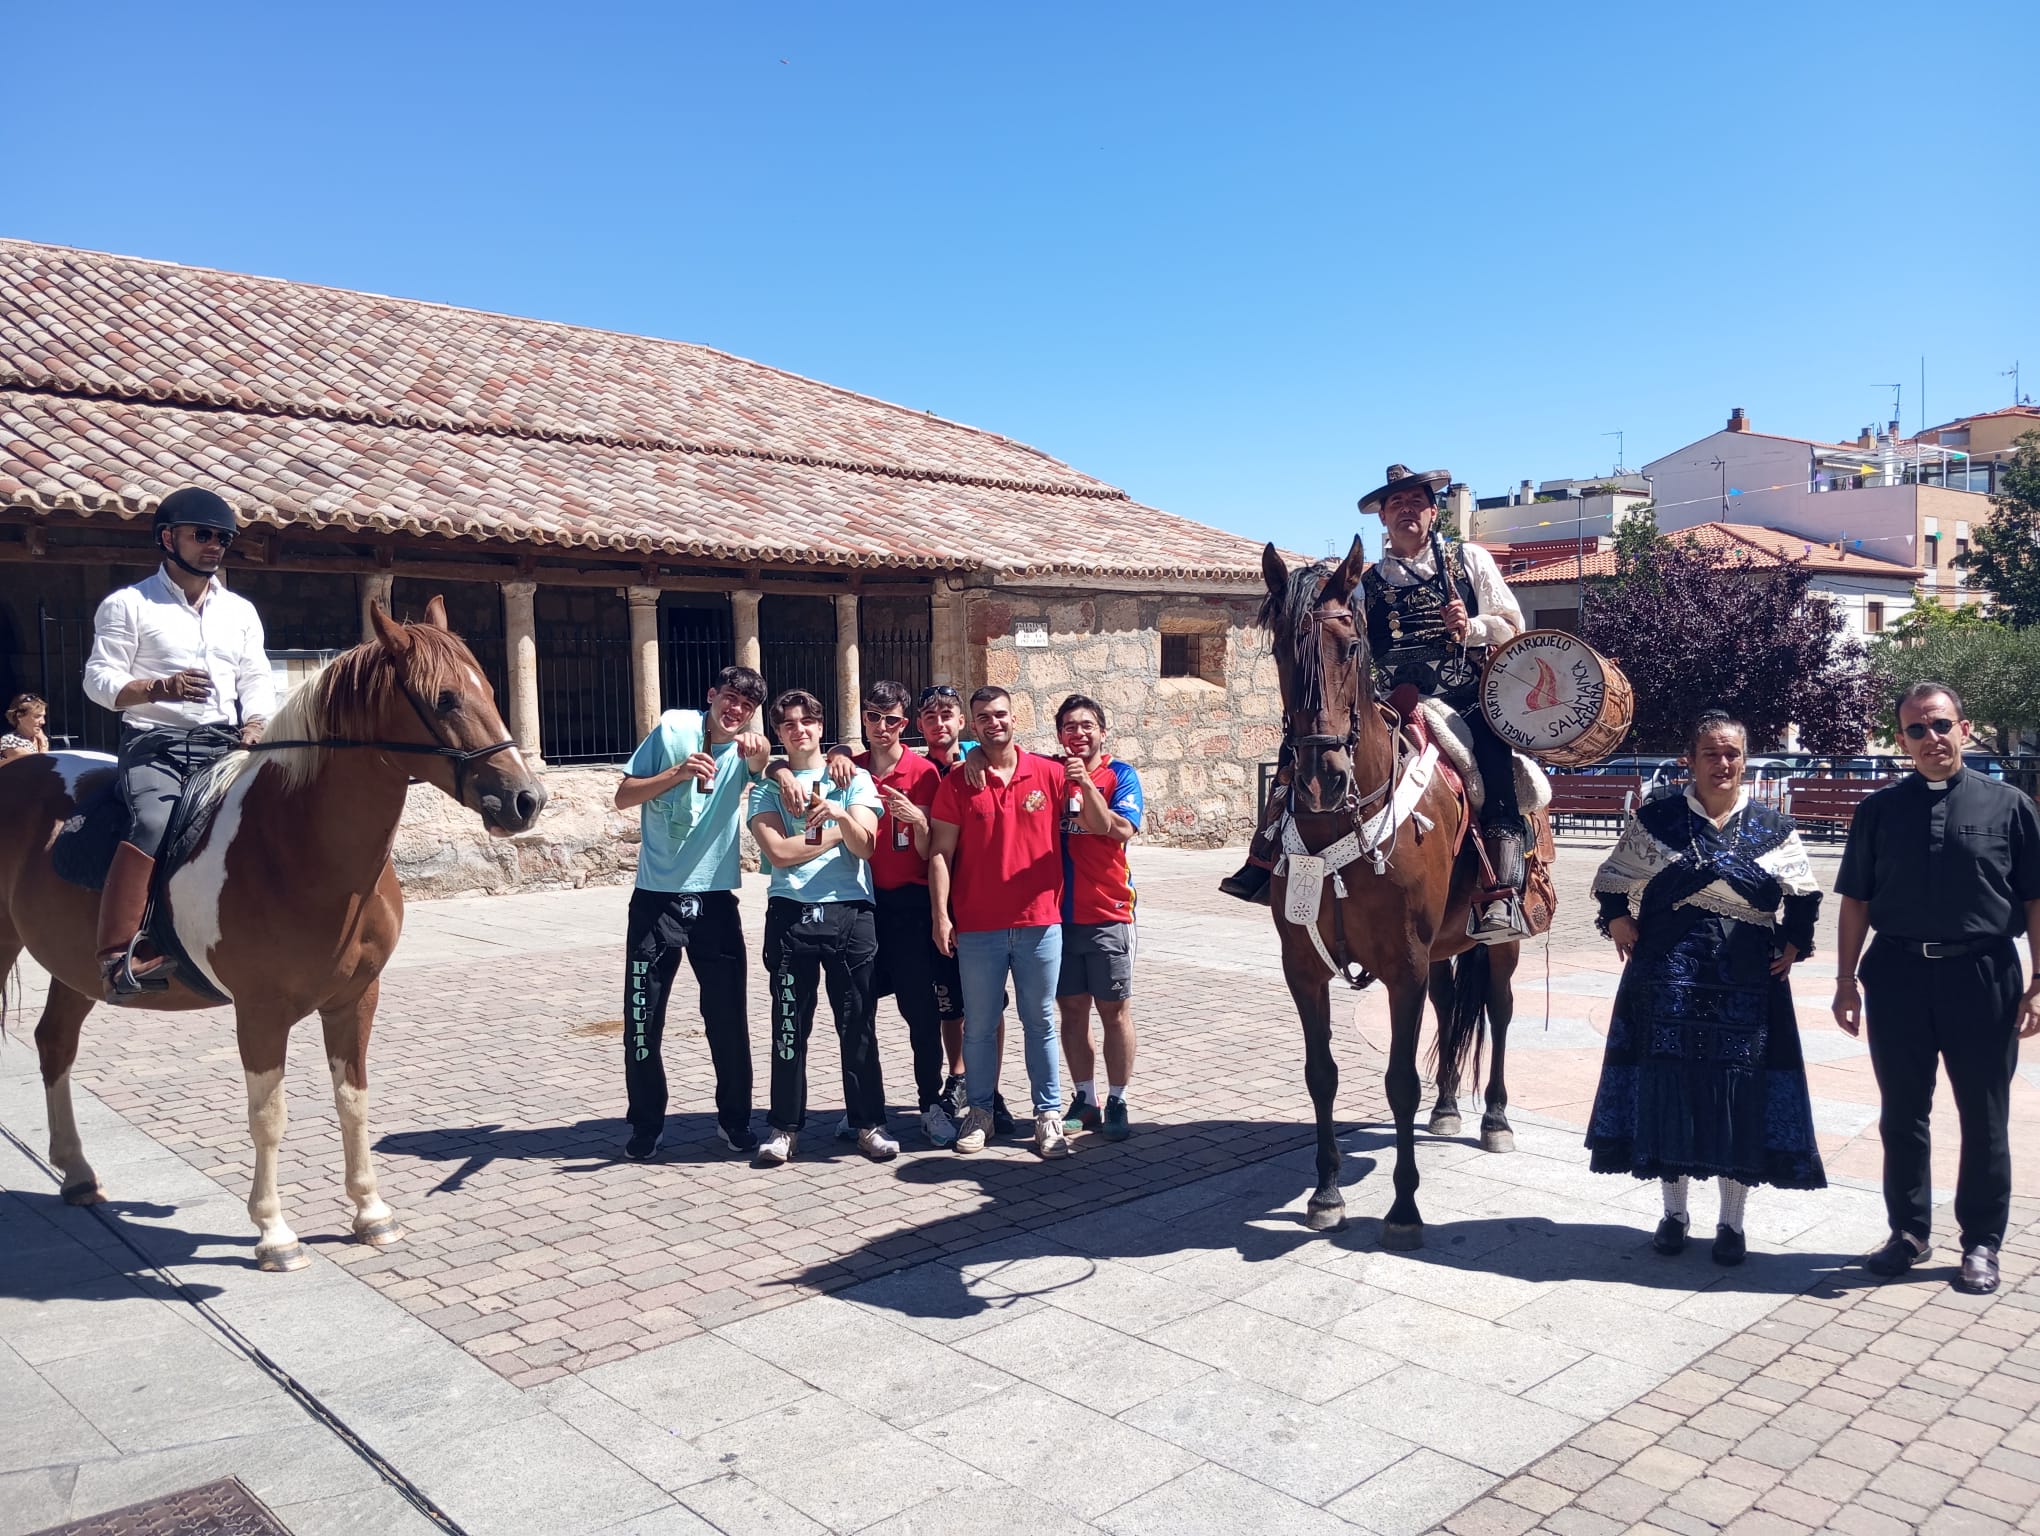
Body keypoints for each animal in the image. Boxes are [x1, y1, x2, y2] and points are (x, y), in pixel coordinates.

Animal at [0, 599, 546, 1272]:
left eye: (493, 691)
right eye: (444, 699)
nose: (525, 799)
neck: (296, 843)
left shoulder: (355, 999)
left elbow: (353, 1099)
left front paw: (371, 1212)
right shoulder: (259, 1012)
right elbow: (269, 1116)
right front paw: (275, 1234)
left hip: (75, 968)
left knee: (54, 1044)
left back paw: (76, 1174)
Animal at [1256, 538, 1501, 1248]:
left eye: (1349, 647)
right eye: (1280, 649)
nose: (1320, 779)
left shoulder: (1404, 965)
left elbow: (1398, 1082)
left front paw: (1404, 1208)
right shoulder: (1303, 968)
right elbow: (1321, 1075)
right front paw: (1326, 1194)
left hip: (1499, 942)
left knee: (1500, 1012)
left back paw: (1495, 1119)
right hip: (1445, 945)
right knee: (1451, 1009)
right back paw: (1449, 1109)